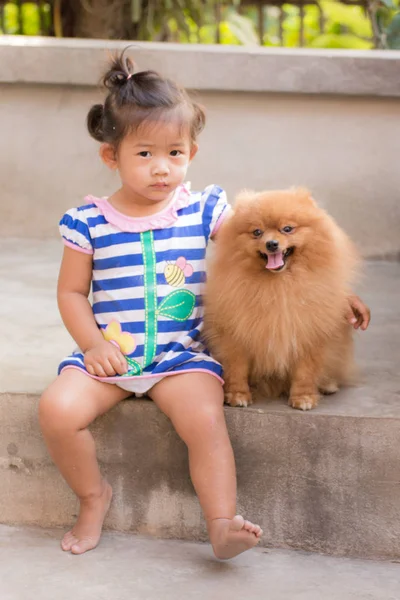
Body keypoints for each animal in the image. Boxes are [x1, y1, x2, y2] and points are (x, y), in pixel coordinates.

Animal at [203, 189, 360, 412]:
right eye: (257, 232)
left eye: (287, 229)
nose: (271, 243)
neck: (278, 286)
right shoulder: (236, 333)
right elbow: (237, 367)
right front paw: (237, 394)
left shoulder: (309, 332)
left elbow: (305, 371)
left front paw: (303, 397)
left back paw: (328, 384)